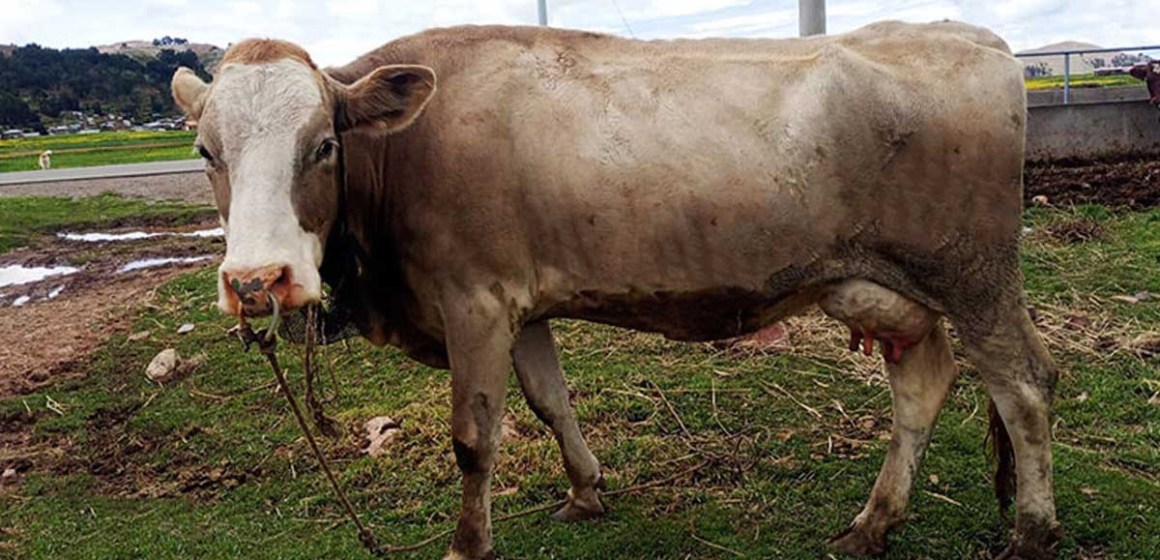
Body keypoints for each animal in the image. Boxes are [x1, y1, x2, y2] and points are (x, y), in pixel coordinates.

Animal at [170, 21, 1060, 559]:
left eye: (323, 143)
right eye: (207, 151)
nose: (257, 281)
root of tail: (969, 36)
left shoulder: (473, 301)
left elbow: (473, 436)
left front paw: (468, 542)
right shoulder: (518, 305)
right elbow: (549, 401)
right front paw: (585, 491)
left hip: (976, 277)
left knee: (1025, 388)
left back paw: (1033, 530)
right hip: (879, 284)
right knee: (924, 382)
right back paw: (875, 522)